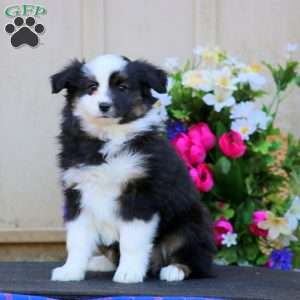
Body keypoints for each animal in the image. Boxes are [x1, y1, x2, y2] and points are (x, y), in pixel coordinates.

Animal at [49, 54, 216, 284]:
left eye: (122, 87)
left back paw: (175, 270)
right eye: (92, 86)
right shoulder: (77, 195)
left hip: (190, 223)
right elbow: (77, 240)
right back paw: (100, 263)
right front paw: (71, 270)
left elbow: (131, 241)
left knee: (198, 259)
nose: (104, 106)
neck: (108, 137)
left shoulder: (139, 197)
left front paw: (128, 273)